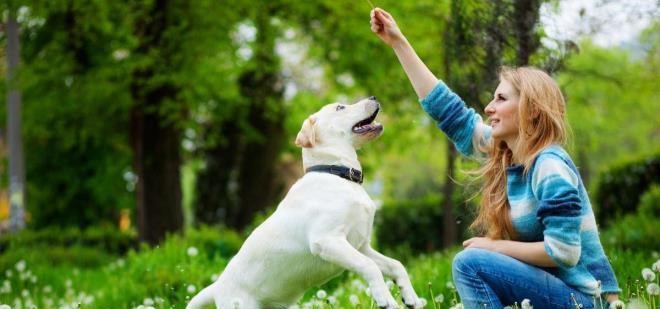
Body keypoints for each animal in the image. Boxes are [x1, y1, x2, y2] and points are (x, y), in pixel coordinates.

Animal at [186, 97, 422, 308]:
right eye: (340, 107)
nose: (373, 97)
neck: (338, 175)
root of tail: (217, 287)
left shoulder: (360, 245)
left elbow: (396, 265)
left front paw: (410, 297)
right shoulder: (327, 240)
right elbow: (370, 266)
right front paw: (386, 300)